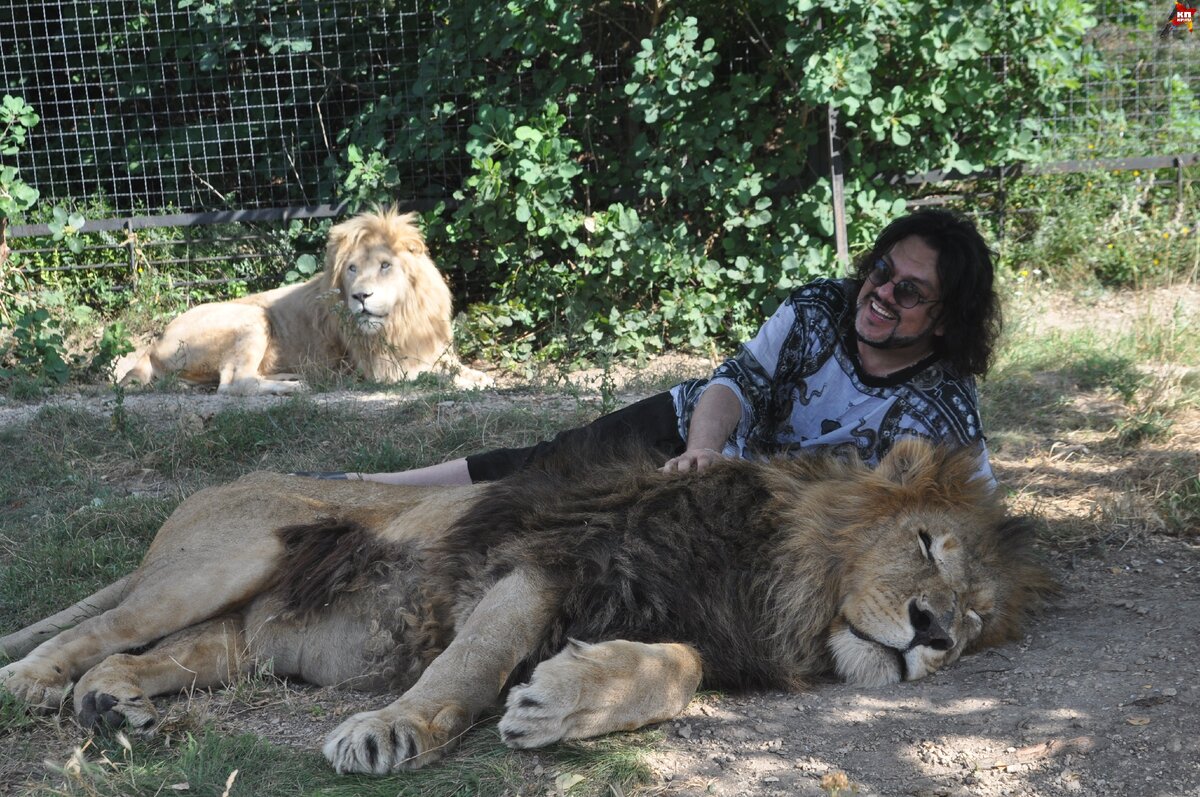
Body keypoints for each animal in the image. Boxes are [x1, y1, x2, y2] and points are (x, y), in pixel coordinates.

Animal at [0, 441, 1051, 772]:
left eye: (973, 621)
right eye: (927, 545)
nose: (932, 634)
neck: (777, 577)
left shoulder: (698, 626)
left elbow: (675, 671)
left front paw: (559, 704)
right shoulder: (544, 561)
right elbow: (464, 666)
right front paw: (390, 731)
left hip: (239, 639)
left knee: (135, 657)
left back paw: (112, 706)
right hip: (231, 555)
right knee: (94, 629)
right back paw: (35, 684)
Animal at [112, 208, 487, 396]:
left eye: (385, 265)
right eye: (352, 269)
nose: (360, 296)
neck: (402, 316)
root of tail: (153, 344)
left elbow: (457, 369)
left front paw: (479, 377)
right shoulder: (384, 371)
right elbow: (432, 377)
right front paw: (465, 383)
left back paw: (293, 376)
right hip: (251, 317)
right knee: (233, 383)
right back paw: (296, 387)